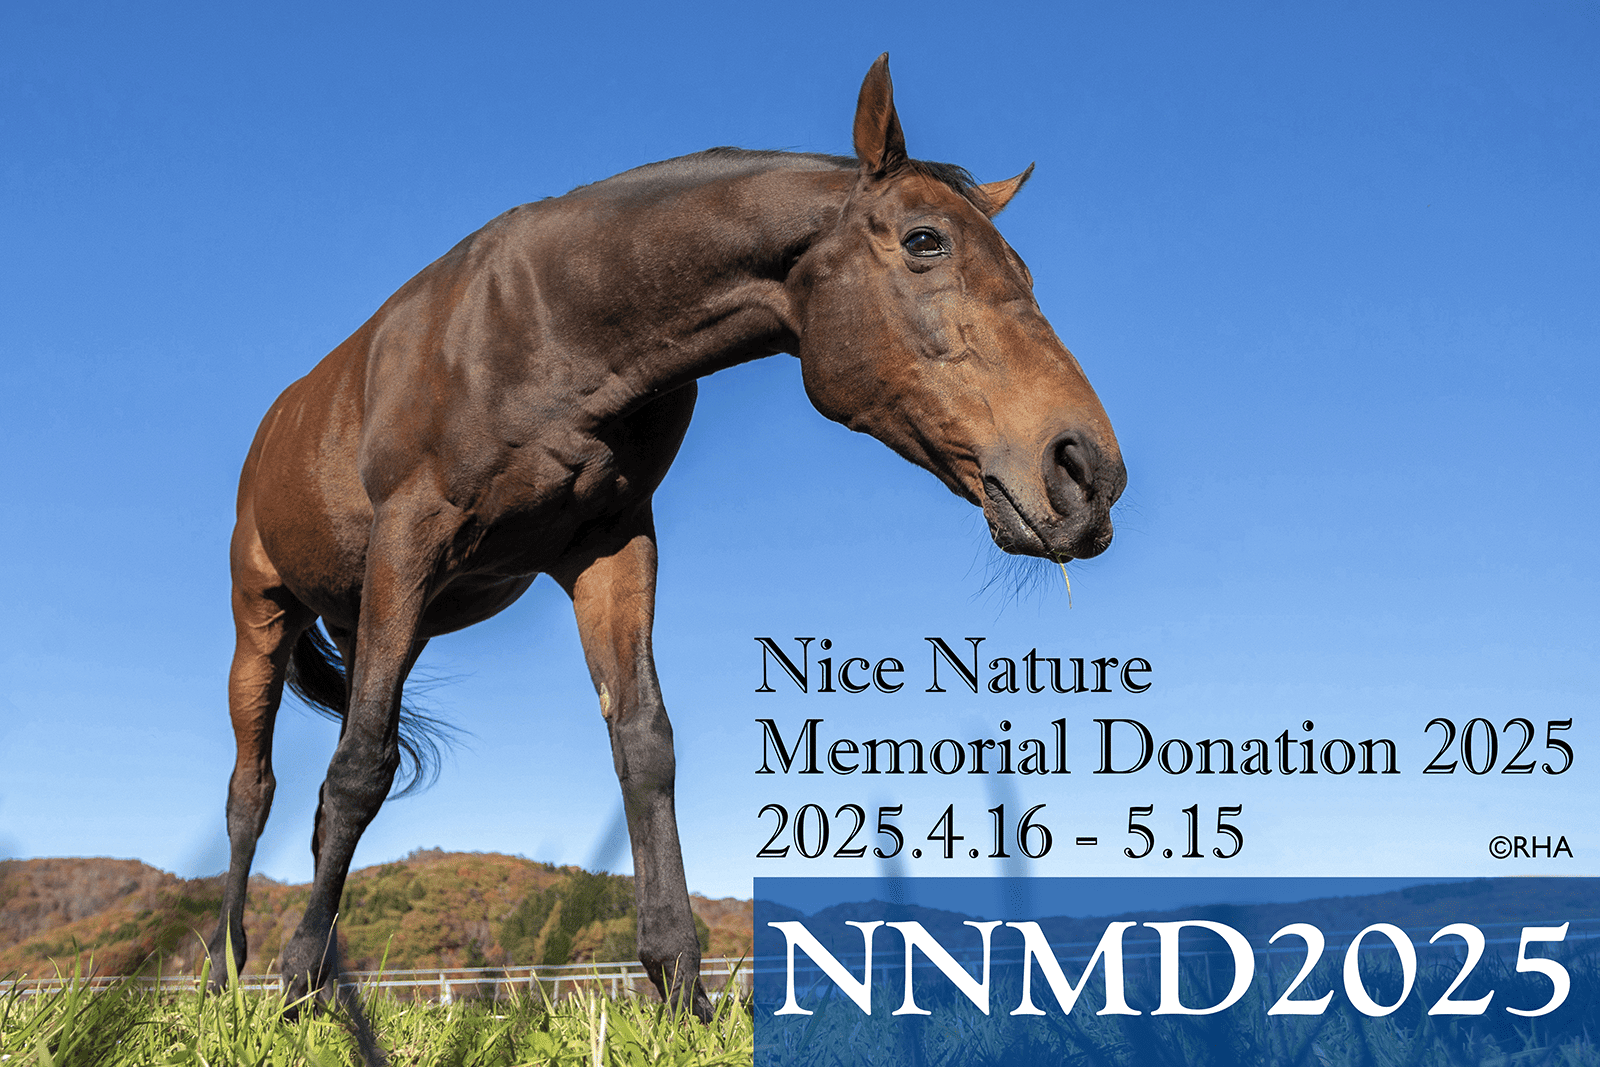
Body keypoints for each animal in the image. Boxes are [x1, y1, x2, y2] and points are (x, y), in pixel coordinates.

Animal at [206, 53, 1126, 1028]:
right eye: (925, 241)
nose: (1086, 470)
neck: (550, 322)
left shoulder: (609, 548)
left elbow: (644, 744)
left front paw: (682, 984)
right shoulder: (408, 542)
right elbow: (359, 767)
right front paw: (296, 986)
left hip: (376, 619)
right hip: (266, 615)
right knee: (252, 792)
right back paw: (226, 979)